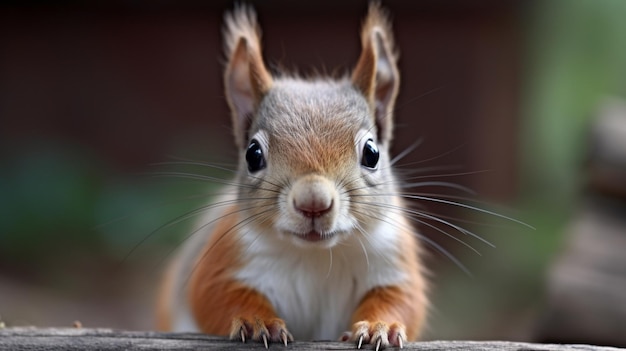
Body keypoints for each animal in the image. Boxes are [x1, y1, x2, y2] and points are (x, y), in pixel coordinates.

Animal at [156, 2, 426, 350]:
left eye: (372, 153)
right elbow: (218, 297)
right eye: (253, 154)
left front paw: (381, 326)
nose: (313, 203)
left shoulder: (394, 259)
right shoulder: (222, 258)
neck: (316, 257)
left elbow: (403, 299)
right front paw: (257, 322)